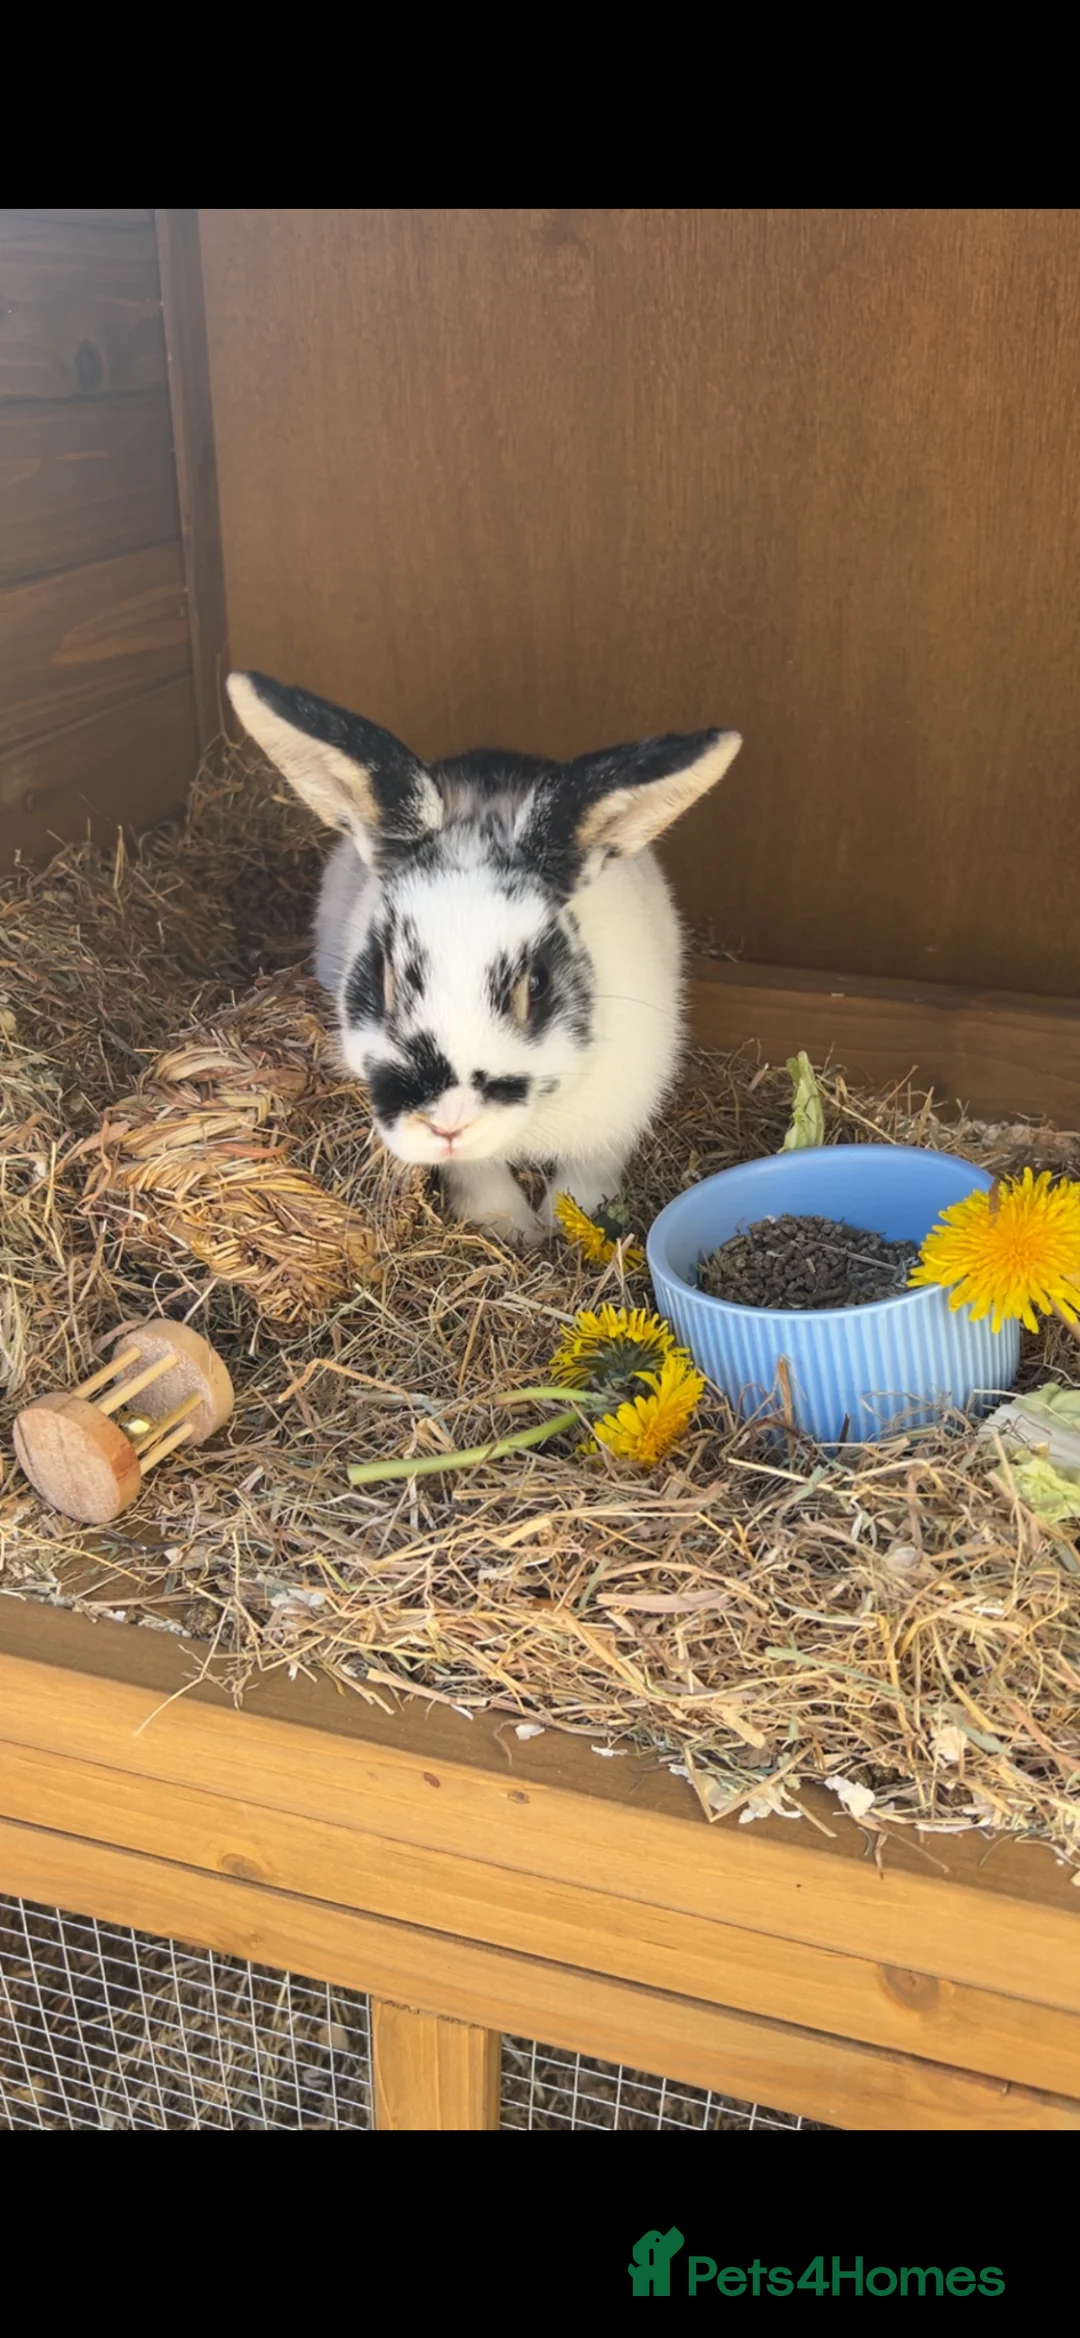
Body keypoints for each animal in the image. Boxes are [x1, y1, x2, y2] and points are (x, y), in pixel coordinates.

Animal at [226, 672, 742, 1244]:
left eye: (535, 983)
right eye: (385, 973)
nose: (447, 1122)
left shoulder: (617, 1119)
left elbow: (587, 1175)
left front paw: (570, 1224)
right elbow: (480, 1174)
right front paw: (509, 1228)